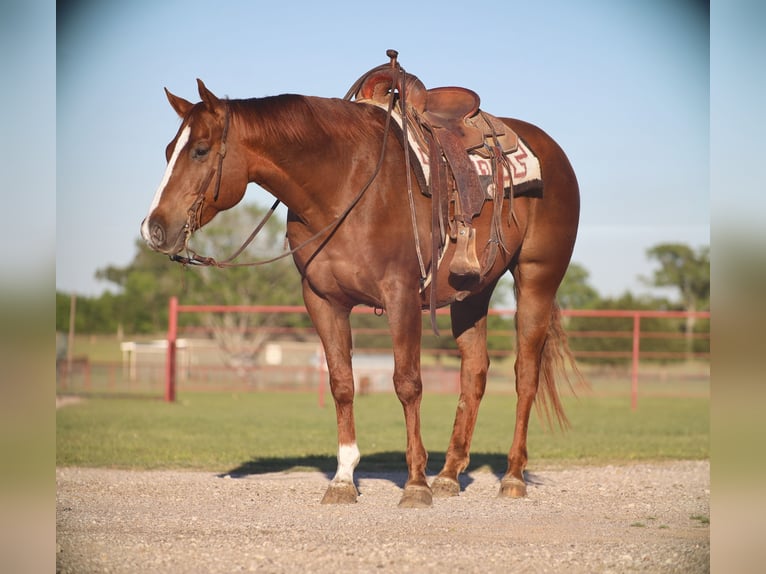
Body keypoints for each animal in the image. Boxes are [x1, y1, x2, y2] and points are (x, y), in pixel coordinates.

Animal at [141, 73, 582, 508]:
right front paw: (343, 480)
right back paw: (449, 475)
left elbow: (407, 383)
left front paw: (415, 483)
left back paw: (511, 477)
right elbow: (342, 384)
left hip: (537, 280)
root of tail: (554, 152)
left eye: (200, 151)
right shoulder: (323, 301)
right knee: (474, 372)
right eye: (167, 151)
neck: (345, 184)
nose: (153, 229)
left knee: (526, 376)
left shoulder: (401, 295)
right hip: (472, 293)